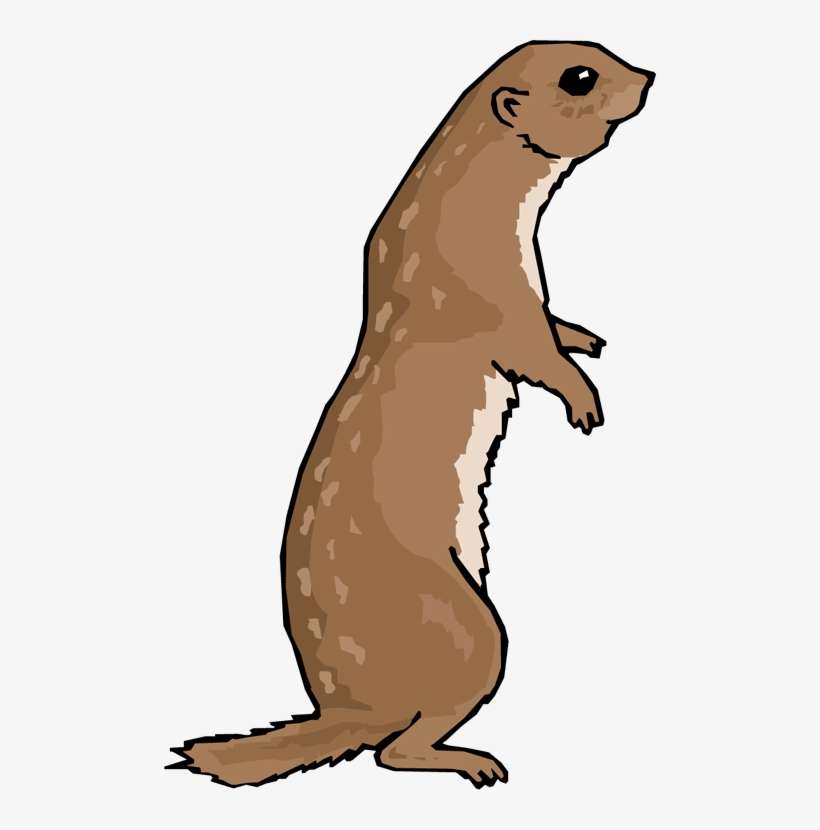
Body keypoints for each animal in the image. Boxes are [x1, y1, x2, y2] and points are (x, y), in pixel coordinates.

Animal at [170, 41, 654, 788]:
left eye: (602, 51)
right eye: (581, 77)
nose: (651, 76)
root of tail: (345, 703)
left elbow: (553, 330)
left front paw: (586, 336)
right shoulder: (493, 296)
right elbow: (534, 353)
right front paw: (585, 402)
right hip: (470, 628)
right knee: (394, 749)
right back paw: (475, 761)